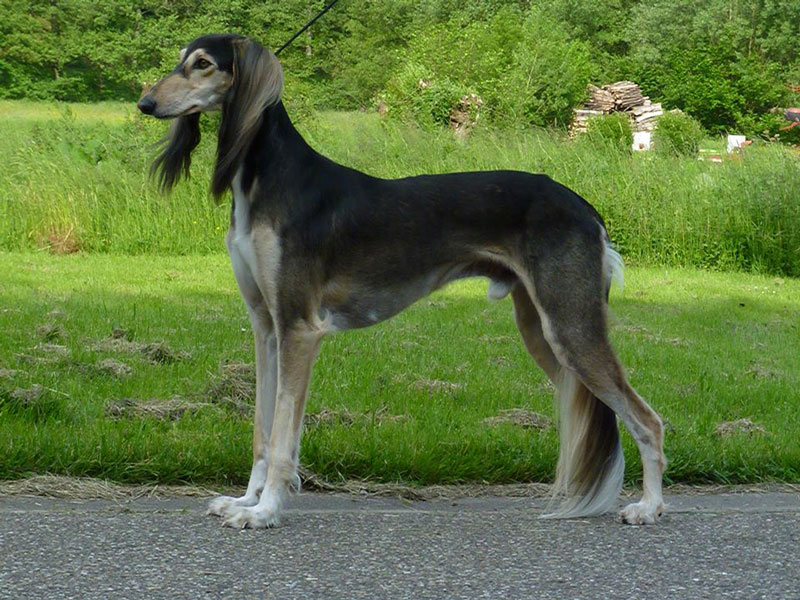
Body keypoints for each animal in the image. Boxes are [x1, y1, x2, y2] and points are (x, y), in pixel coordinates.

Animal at [138, 34, 666, 529]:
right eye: (179, 60)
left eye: (203, 64)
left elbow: (284, 434)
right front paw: (246, 500)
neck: (268, 179)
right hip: (541, 331)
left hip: (570, 326)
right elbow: (262, 430)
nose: (145, 103)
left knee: (649, 420)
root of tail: (587, 208)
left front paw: (265, 511)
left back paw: (649, 506)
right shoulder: (267, 328)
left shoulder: (299, 328)